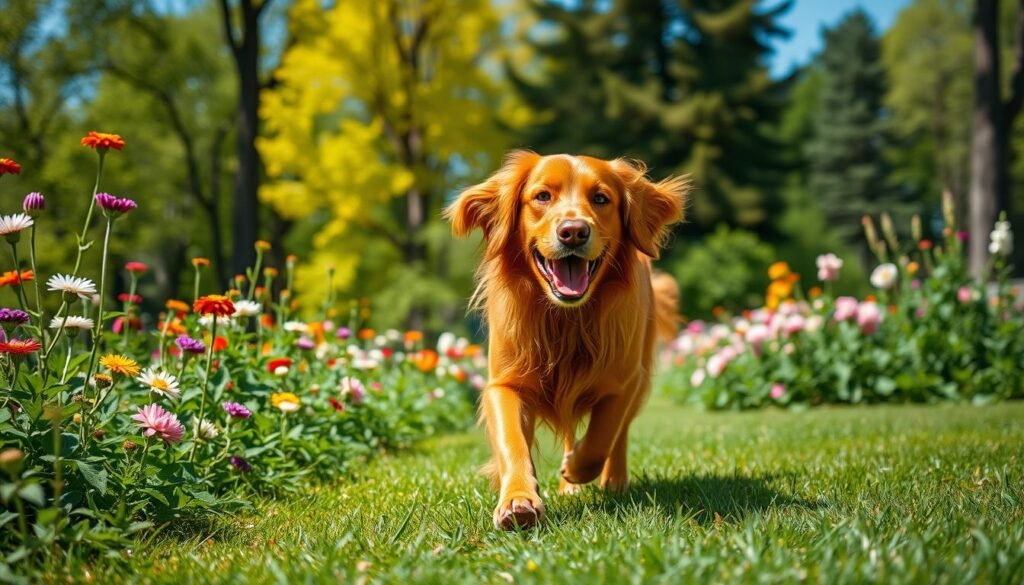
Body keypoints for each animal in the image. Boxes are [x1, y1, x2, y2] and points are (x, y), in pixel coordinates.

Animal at [444, 150, 684, 532]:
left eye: (601, 199)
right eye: (542, 196)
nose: (573, 232)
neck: (565, 320)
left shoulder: (624, 380)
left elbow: (602, 437)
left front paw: (575, 468)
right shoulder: (504, 384)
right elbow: (512, 442)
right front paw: (518, 501)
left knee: (619, 436)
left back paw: (611, 480)